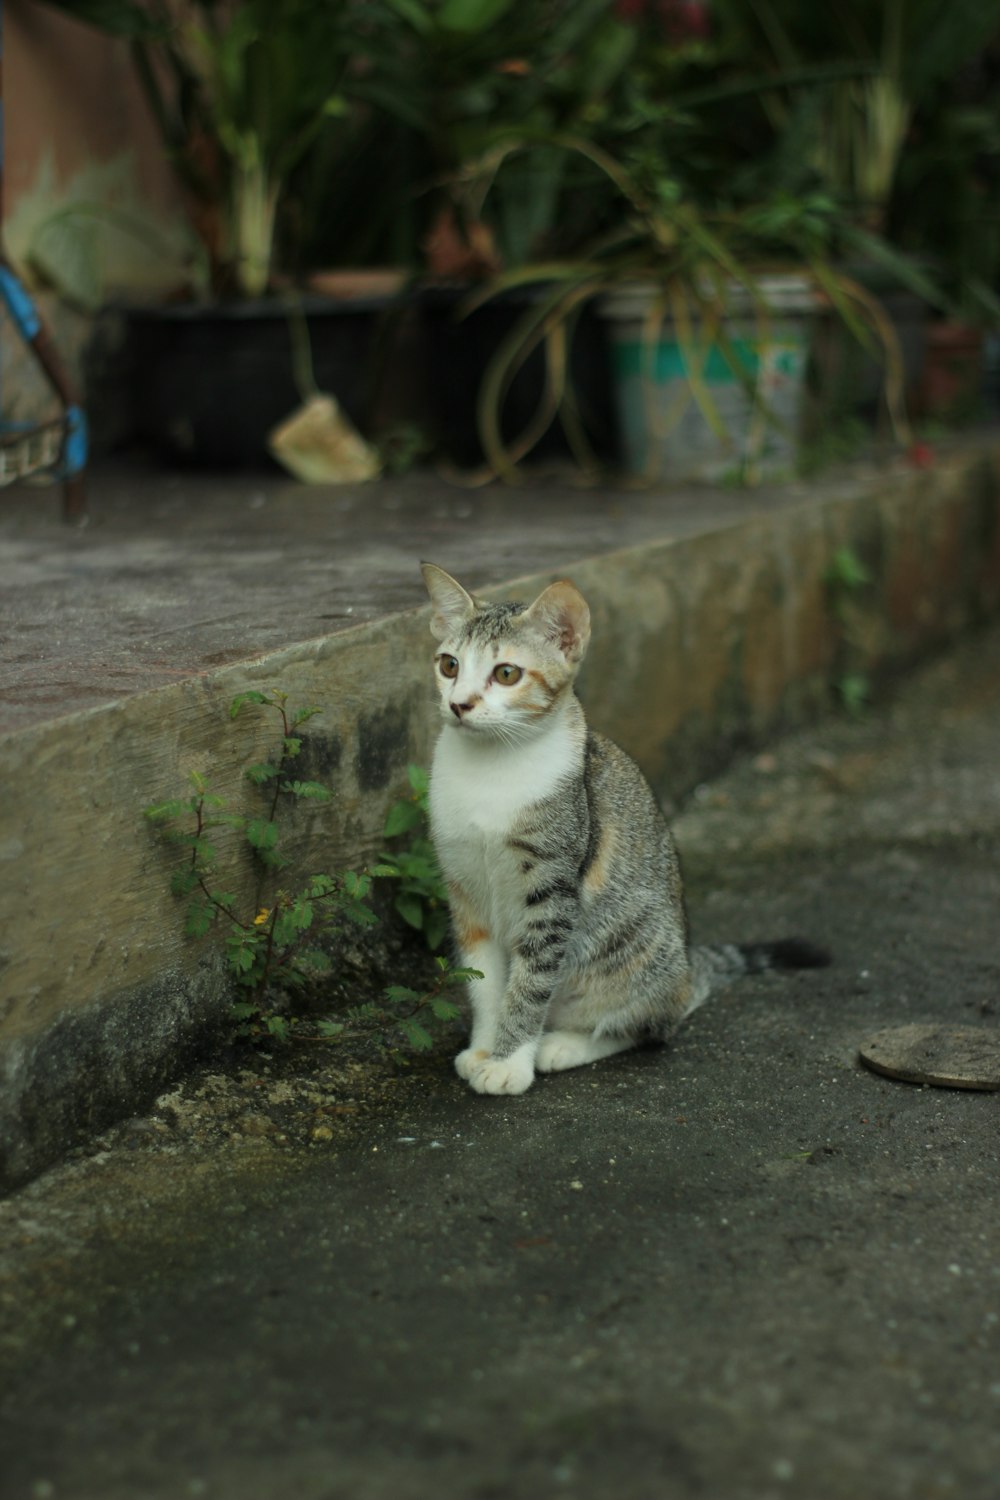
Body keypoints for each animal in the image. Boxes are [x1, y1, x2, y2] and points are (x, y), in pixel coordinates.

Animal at [419, 558, 827, 1098]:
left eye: (506, 673)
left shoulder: (554, 890)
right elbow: (484, 979)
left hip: (634, 946)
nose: (459, 704)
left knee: (650, 1027)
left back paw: (563, 1044)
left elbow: (530, 981)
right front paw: (486, 1048)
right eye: (449, 665)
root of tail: (687, 972)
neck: (490, 770)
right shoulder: (464, 887)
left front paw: (510, 1061)